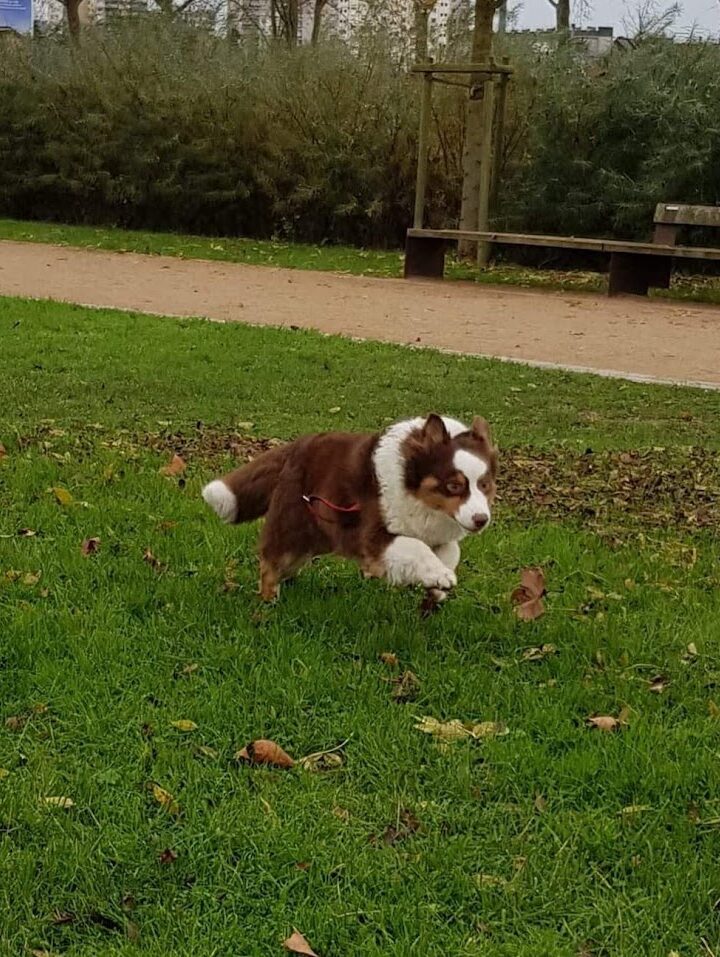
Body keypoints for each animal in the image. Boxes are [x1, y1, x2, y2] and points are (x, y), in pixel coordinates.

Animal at [201, 412, 496, 604]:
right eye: (454, 486)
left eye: (485, 485)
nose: (481, 519)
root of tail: (297, 445)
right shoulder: (373, 535)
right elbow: (415, 546)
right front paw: (441, 576)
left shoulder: (437, 531)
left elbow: (451, 551)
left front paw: (437, 584)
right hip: (291, 526)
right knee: (270, 560)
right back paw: (268, 602)